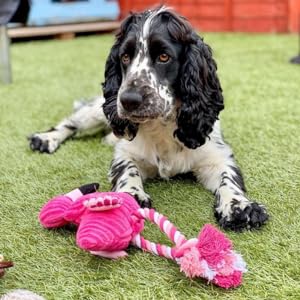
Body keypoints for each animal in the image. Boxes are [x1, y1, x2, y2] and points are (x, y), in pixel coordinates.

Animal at [29, 7, 270, 232]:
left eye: (164, 57)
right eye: (125, 57)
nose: (128, 100)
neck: (162, 126)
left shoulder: (217, 155)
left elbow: (229, 179)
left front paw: (240, 207)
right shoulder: (126, 153)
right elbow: (128, 170)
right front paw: (131, 195)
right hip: (98, 110)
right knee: (71, 123)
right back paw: (46, 139)